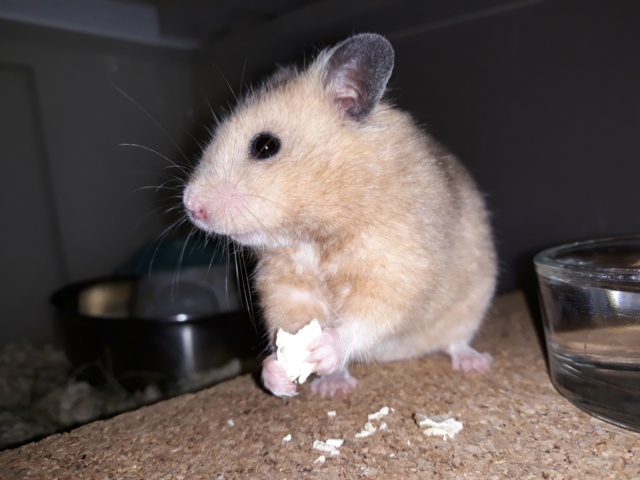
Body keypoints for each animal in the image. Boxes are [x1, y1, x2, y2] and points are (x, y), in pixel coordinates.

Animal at [182, 33, 498, 398]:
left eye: (265, 146)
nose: (190, 206)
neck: (313, 236)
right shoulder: (287, 287)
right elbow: (287, 322)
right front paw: (277, 375)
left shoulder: (396, 269)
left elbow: (371, 314)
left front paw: (319, 350)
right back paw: (332, 386)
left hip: (471, 304)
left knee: (455, 341)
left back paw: (475, 363)